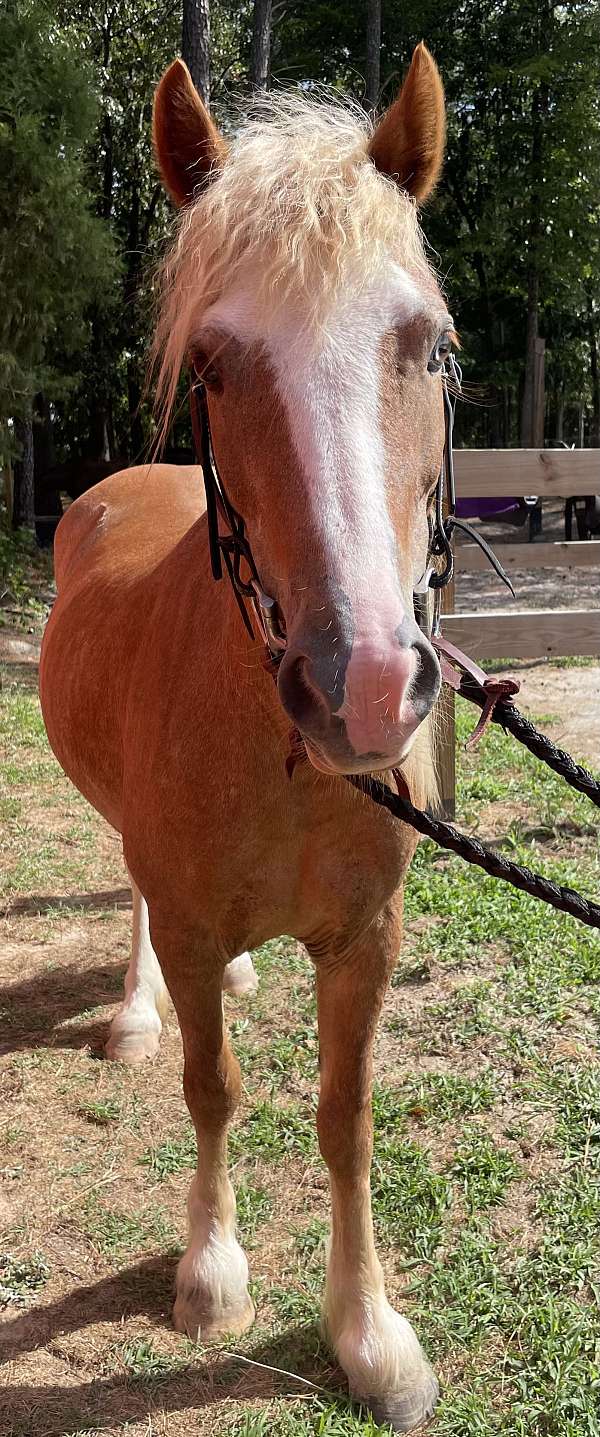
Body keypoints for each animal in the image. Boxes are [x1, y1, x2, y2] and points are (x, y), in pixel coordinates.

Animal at [40, 45, 452, 1432]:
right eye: (215, 366)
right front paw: (212, 1273)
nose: (363, 687)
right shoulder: (187, 908)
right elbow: (213, 1092)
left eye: (428, 346)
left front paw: (369, 1334)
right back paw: (141, 1010)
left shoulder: (367, 939)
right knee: (131, 903)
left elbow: (347, 1116)